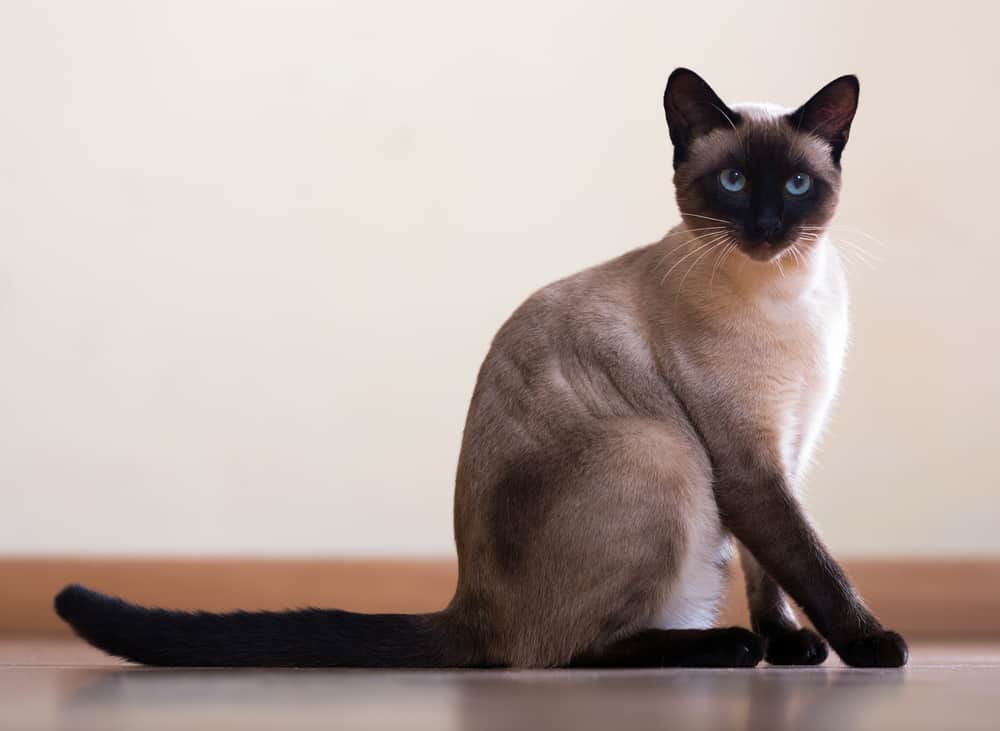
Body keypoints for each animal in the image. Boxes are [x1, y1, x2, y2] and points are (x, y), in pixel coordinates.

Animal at [58, 67, 912, 668]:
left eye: (796, 184)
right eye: (734, 182)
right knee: (564, 651)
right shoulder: (746, 463)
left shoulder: (789, 450)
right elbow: (814, 565)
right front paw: (871, 646)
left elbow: (778, 573)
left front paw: (795, 646)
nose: (767, 226)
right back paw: (725, 647)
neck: (785, 293)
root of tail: (467, 603)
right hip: (660, 449)